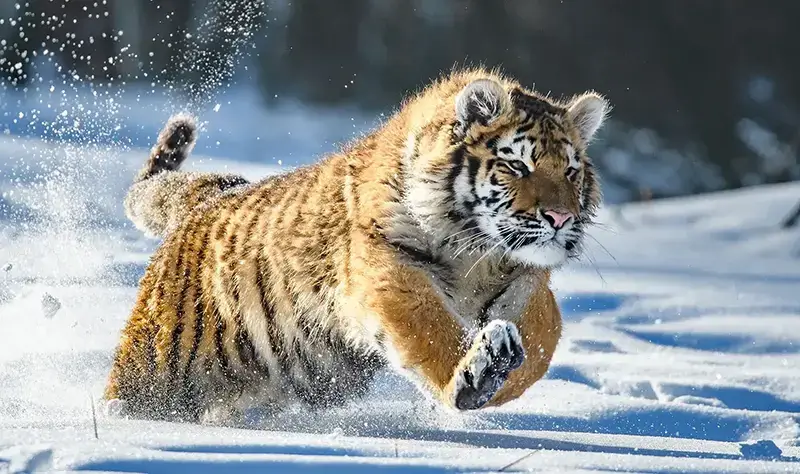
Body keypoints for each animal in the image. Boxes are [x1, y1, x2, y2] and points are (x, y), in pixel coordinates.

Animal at [104, 67, 610, 425]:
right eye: (517, 165)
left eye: (570, 171)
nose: (561, 218)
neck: (477, 253)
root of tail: (209, 197)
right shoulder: (388, 268)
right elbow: (431, 328)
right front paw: (474, 376)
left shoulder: (526, 278)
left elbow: (543, 339)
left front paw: (502, 373)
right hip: (157, 364)